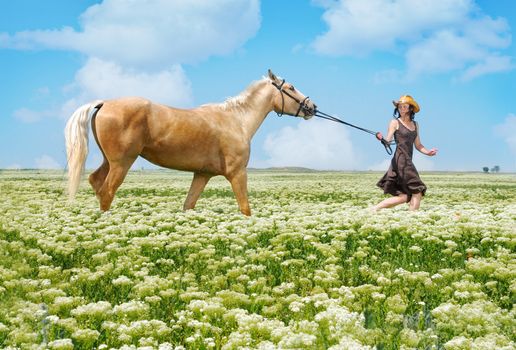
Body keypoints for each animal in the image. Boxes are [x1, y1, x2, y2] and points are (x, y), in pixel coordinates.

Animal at [63, 69, 314, 215]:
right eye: (291, 88)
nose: (312, 107)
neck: (236, 120)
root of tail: (104, 103)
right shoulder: (237, 174)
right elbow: (245, 208)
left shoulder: (202, 175)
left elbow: (189, 205)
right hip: (121, 163)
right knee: (107, 192)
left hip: (109, 161)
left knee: (96, 182)